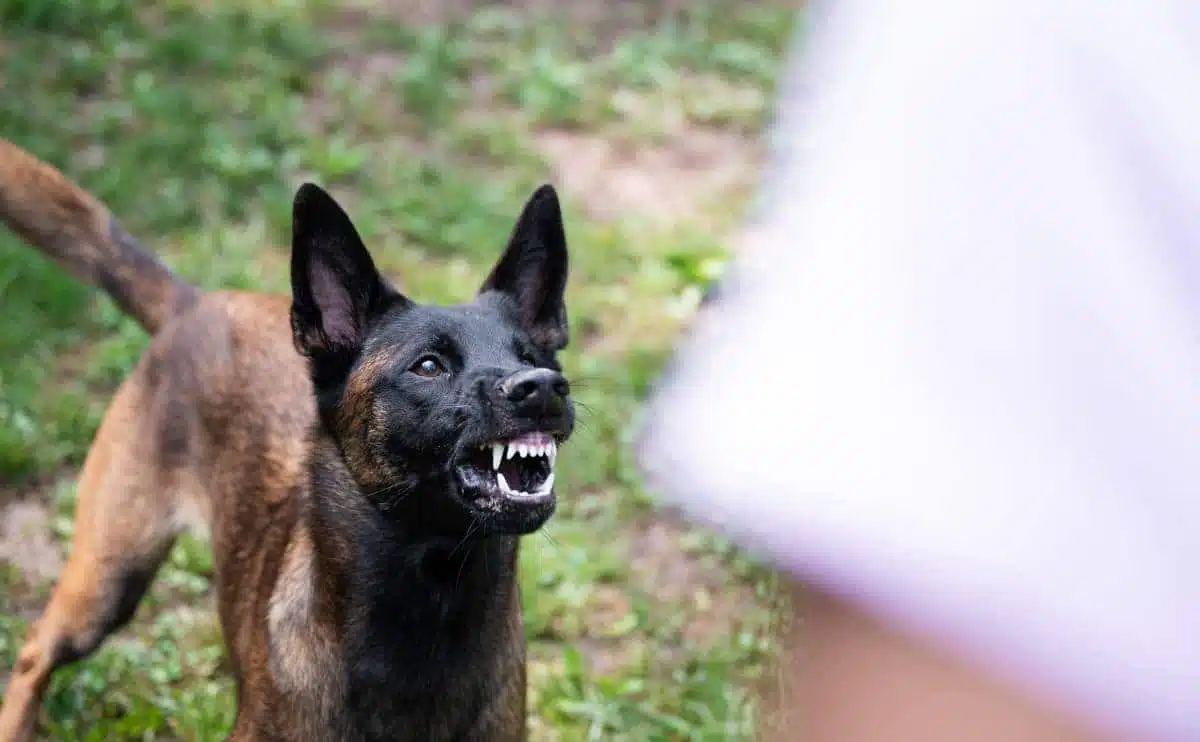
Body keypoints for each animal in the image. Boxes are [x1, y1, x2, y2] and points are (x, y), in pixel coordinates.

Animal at [0, 134, 576, 739]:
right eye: (428, 366)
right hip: (110, 574)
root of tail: (194, 303)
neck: (433, 597)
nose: (542, 387)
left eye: (532, 357)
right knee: (36, 650)